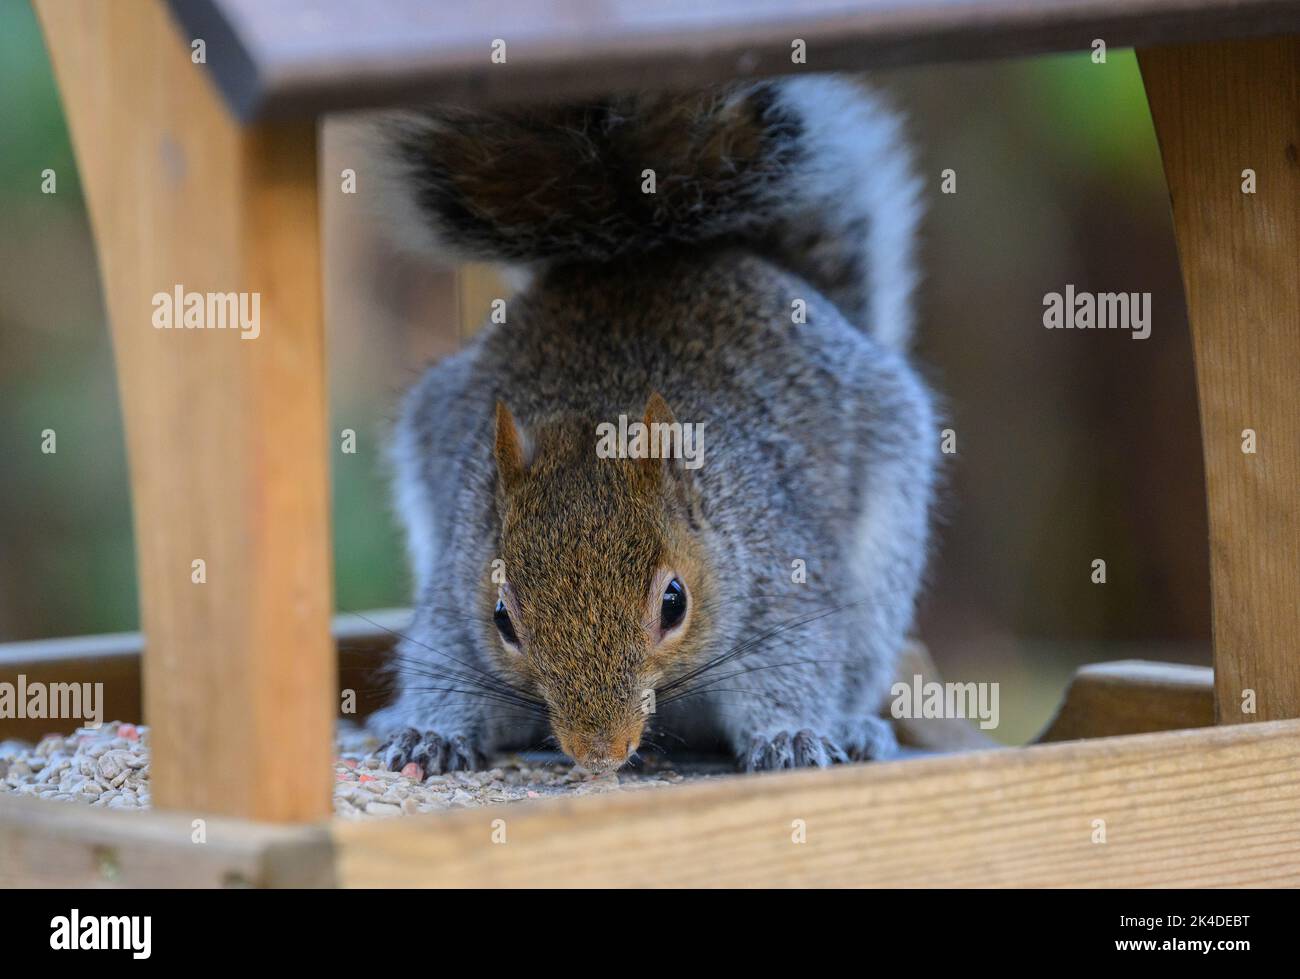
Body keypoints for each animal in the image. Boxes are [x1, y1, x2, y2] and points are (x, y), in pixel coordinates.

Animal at [367, 75, 938, 775]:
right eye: (502, 617)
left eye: (674, 603)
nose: (599, 754)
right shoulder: (455, 592)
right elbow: (442, 667)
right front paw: (429, 733)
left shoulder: (782, 586)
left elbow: (793, 667)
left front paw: (792, 737)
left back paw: (857, 727)